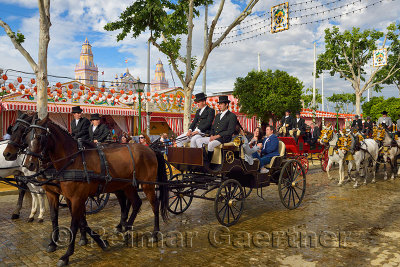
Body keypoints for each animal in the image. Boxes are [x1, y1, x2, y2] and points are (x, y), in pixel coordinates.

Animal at [23, 115, 168, 267]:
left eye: (39, 137)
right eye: (26, 137)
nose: (28, 164)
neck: (73, 159)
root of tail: (150, 150)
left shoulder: (77, 198)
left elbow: (74, 223)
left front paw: (67, 255)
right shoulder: (65, 196)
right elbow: (66, 218)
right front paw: (99, 241)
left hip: (147, 186)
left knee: (154, 205)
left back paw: (154, 234)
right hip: (127, 186)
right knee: (135, 203)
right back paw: (126, 229)